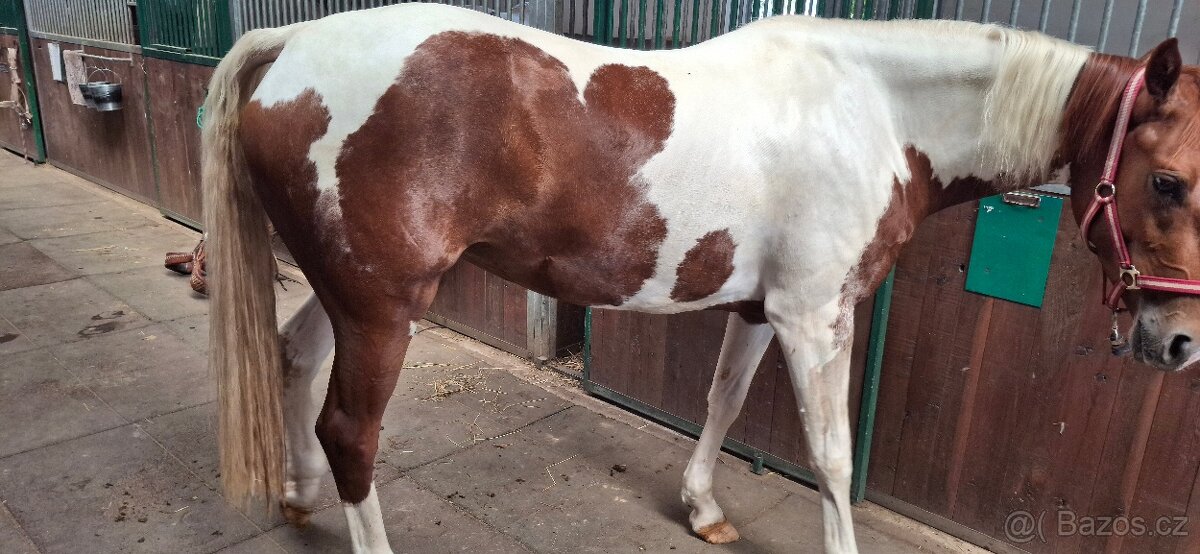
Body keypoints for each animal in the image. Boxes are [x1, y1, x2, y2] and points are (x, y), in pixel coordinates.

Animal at [199, 4, 1200, 552]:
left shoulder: (760, 308)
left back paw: (299, 497)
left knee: (294, 358)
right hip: (383, 308)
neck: (874, 108)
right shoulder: (815, 318)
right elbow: (833, 456)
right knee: (350, 430)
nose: (1177, 341)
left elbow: (722, 402)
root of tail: (290, 46)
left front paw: (705, 508)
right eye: (1167, 180)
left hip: (354, 294)